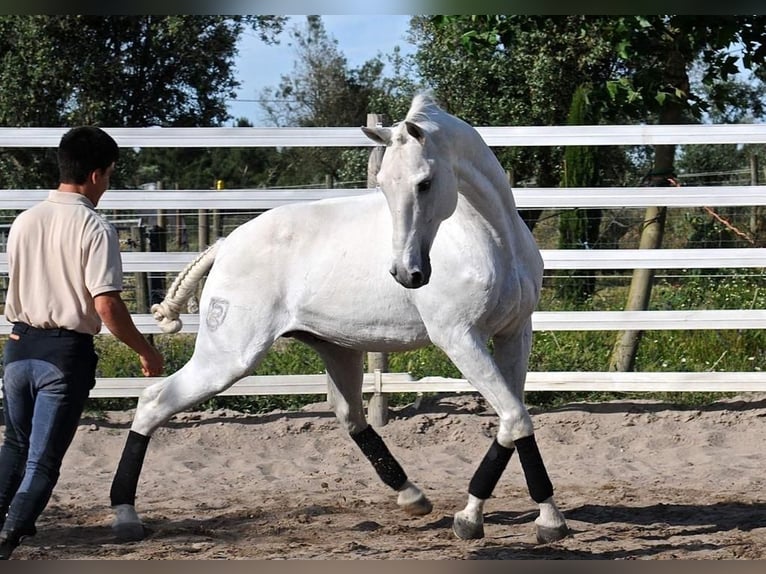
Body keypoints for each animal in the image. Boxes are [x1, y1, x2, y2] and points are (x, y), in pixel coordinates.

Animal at [111, 93, 572, 544]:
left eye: (424, 183)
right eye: (383, 184)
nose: (406, 273)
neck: (492, 238)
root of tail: (225, 244)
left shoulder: (514, 334)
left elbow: (511, 420)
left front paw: (498, 518)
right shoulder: (460, 339)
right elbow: (515, 418)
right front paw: (522, 520)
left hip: (337, 350)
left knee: (350, 416)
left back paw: (413, 497)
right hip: (228, 358)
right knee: (153, 402)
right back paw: (125, 516)